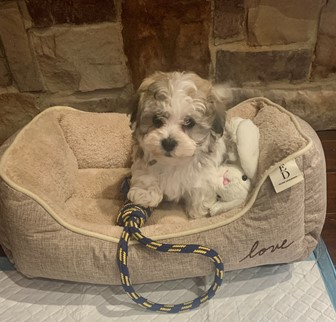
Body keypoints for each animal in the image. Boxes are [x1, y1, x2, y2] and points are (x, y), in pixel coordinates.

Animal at [127, 71, 227, 218]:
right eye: (156, 119)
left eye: (189, 122)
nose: (168, 143)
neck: (173, 162)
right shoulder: (142, 160)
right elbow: (146, 175)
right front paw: (145, 195)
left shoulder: (204, 173)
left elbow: (200, 187)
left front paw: (197, 211)